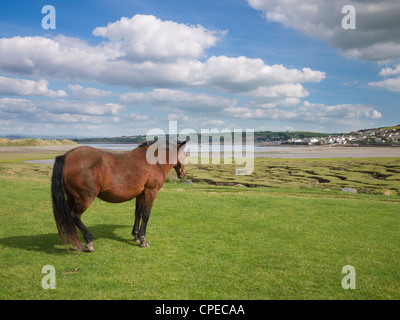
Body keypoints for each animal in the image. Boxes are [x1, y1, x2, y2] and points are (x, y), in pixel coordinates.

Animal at [50, 140, 187, 252]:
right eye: (185, 154)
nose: (183, 173)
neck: (154, 161)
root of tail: (66, 156)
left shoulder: (140, 194)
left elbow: (138, 214)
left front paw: (136, 236)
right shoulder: (150, 192)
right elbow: (146, 215)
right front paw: (143, 240)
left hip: (71, 197)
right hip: (85, 198)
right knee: (75, 215)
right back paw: (89, 240)